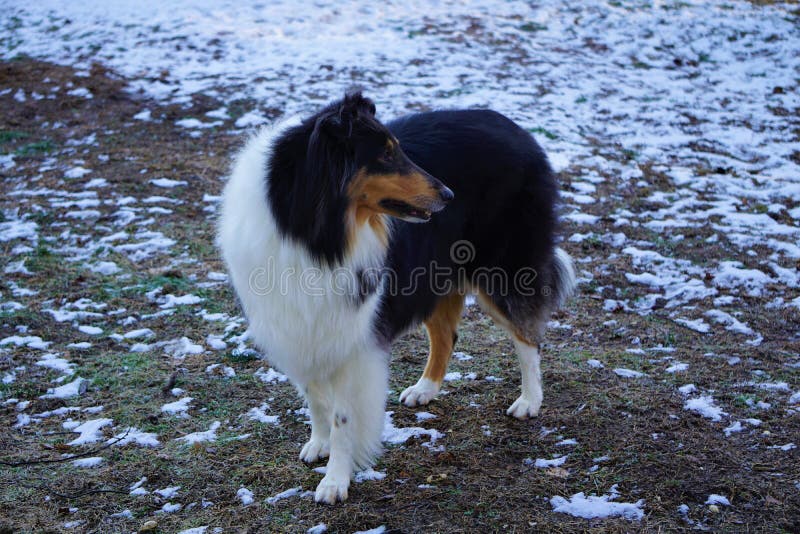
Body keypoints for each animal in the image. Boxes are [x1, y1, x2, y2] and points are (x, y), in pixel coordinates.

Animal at [216, 94, 572, 504]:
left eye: (397, 149)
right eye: (385, 155)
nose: (449, 195)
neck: (308, 228)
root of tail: (519, 131)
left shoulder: (353, 338)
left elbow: (342, 416)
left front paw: (335, 480)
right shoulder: (298, 326)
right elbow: (315, 398)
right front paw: (319, 443)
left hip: (503, 269)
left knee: (527, 336)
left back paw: (529, 401)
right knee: (447, 334)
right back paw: (425, 389)